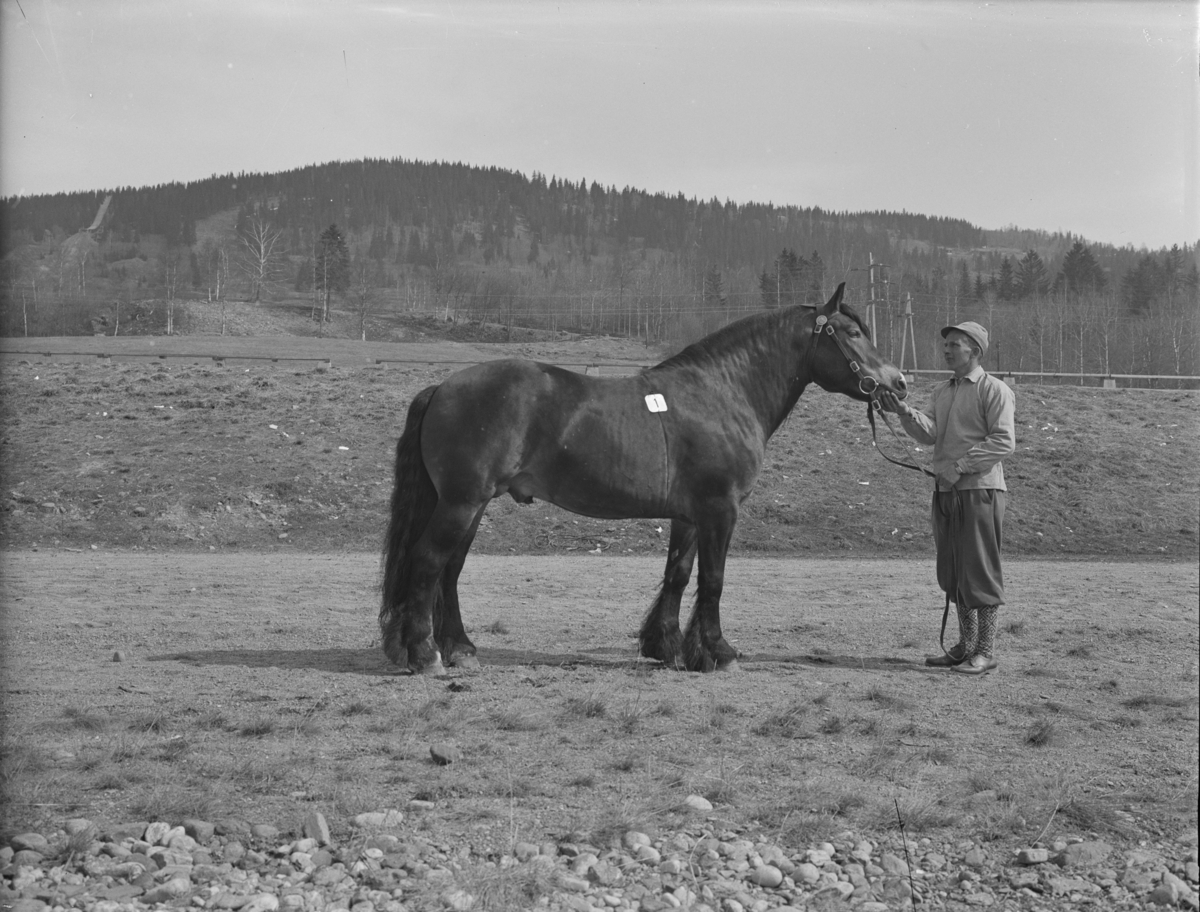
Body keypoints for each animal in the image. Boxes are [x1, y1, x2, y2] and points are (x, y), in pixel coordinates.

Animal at [384, 285, 907, 676]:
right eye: (852, 332)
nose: (899, 383)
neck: (722, 392)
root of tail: (442, 387)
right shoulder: (721, 509)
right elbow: (714, 579)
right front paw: (720, 652)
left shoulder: (690, 515)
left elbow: (678, 574)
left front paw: (670, 647)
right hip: (461, 502)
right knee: (429, 562)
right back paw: (427, 654)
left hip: (469, 504)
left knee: (450, 571)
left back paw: (460, 649)